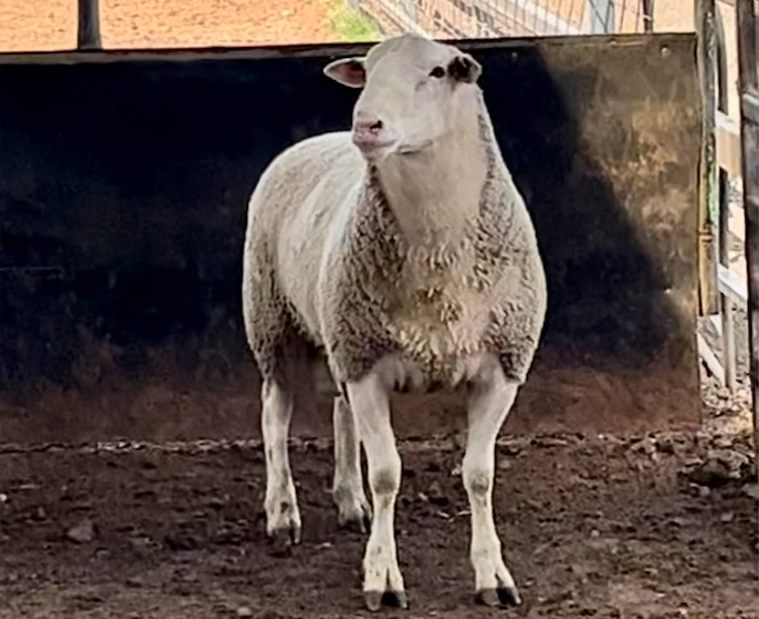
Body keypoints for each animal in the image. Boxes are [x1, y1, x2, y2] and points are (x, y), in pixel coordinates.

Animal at [242, 33, 547, 611]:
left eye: (437, 71)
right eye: (367, 71)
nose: (366, 124)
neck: (439, 254)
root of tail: (313, 141)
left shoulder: (501, 367)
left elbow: (479, 476)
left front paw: (492, 575)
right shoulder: (368, 367)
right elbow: (387, 474)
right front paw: (382, 577)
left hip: (338, 332)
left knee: (339, 414)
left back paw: (349, 501)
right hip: (273, 320)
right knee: (275, 417)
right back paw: (282, 515)